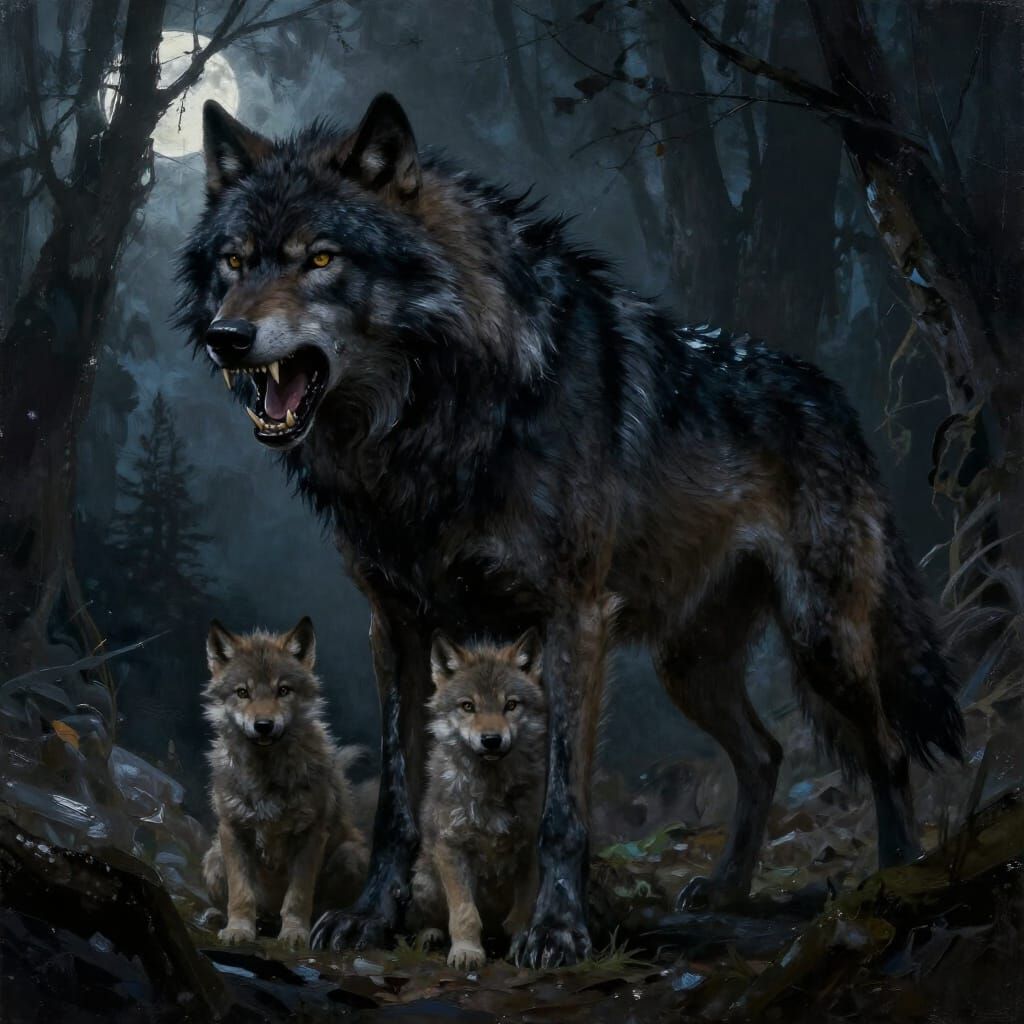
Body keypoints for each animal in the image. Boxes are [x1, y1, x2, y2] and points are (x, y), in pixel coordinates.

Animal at [201, 617, 368, 948]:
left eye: (283, 690)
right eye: (243, 693)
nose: (263, 725)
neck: (265, 776)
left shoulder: (311, 834)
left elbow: (298, 897)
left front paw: (294, 934)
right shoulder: (232, 829)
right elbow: (241, 894)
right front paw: (239, 930)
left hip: (351, 856)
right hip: (213, 860)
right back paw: (228, 919)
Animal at [409, 630, 547, 970]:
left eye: (510, 705)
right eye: (468, 706)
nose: (492, 740)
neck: (491, 788)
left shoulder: (529, 847)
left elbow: (524, 909)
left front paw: (520, 944)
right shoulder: (451, 848)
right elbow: (464, 913)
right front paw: (467, 952)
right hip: (426, 880)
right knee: (424, 918)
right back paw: (430, 935)